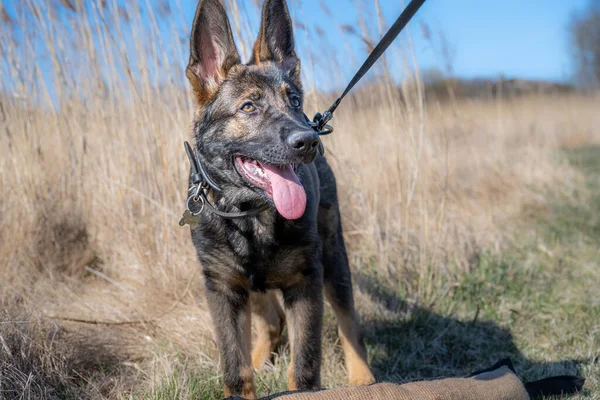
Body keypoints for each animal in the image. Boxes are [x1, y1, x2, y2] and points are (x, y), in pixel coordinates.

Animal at [185, 0, 378, 396]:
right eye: (248, 107)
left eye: (293, 100)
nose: (308, 141)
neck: (249, 215)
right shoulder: (223, 289)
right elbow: (235, 369)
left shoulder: (305, 282)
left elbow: (304, 366)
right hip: (252, 283)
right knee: (271, 322)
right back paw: (261, 356)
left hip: (333, 256)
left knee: (348, 319)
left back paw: (362, 379)